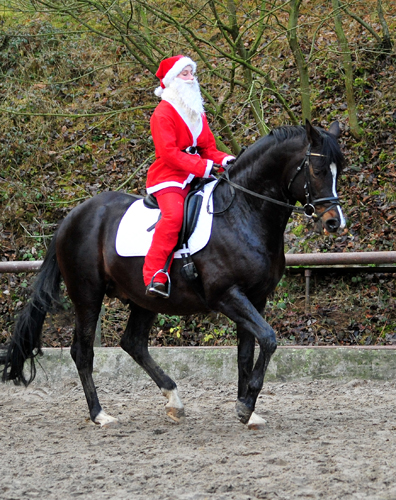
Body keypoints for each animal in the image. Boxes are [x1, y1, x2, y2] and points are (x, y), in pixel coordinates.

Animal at [1, 120, 344, 430]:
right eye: (317, 170)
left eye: (339, 170)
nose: (334, 222)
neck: (244, 213)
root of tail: (72, 216)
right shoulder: (227, 296)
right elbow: (270, 339)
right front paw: (246, 405)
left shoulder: (255, 299)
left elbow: (248, 353)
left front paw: (247, 410)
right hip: (87, 295)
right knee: (83, 351)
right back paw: (100, 414)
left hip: (145, 297)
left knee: (133, 343)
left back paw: (174, 401)